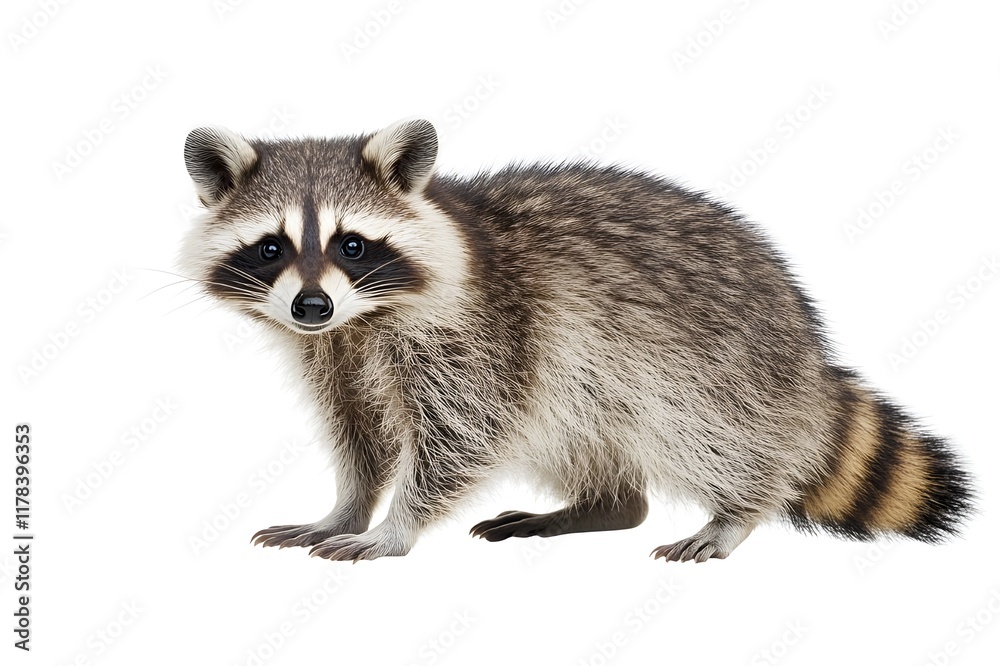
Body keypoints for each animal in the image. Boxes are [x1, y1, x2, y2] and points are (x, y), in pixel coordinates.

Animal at [180, 118, 973, 563]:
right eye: (272, 248)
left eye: (352, 244)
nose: (311, 305)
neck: (359, 321)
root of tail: (807, 342)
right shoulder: (333, 355)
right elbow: (360, 437)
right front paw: (346, 506)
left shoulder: (487, 331)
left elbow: (462, 435)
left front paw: (396, 526)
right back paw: (601, 506)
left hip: (721, 369)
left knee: (718, 438)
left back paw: (738, 511)